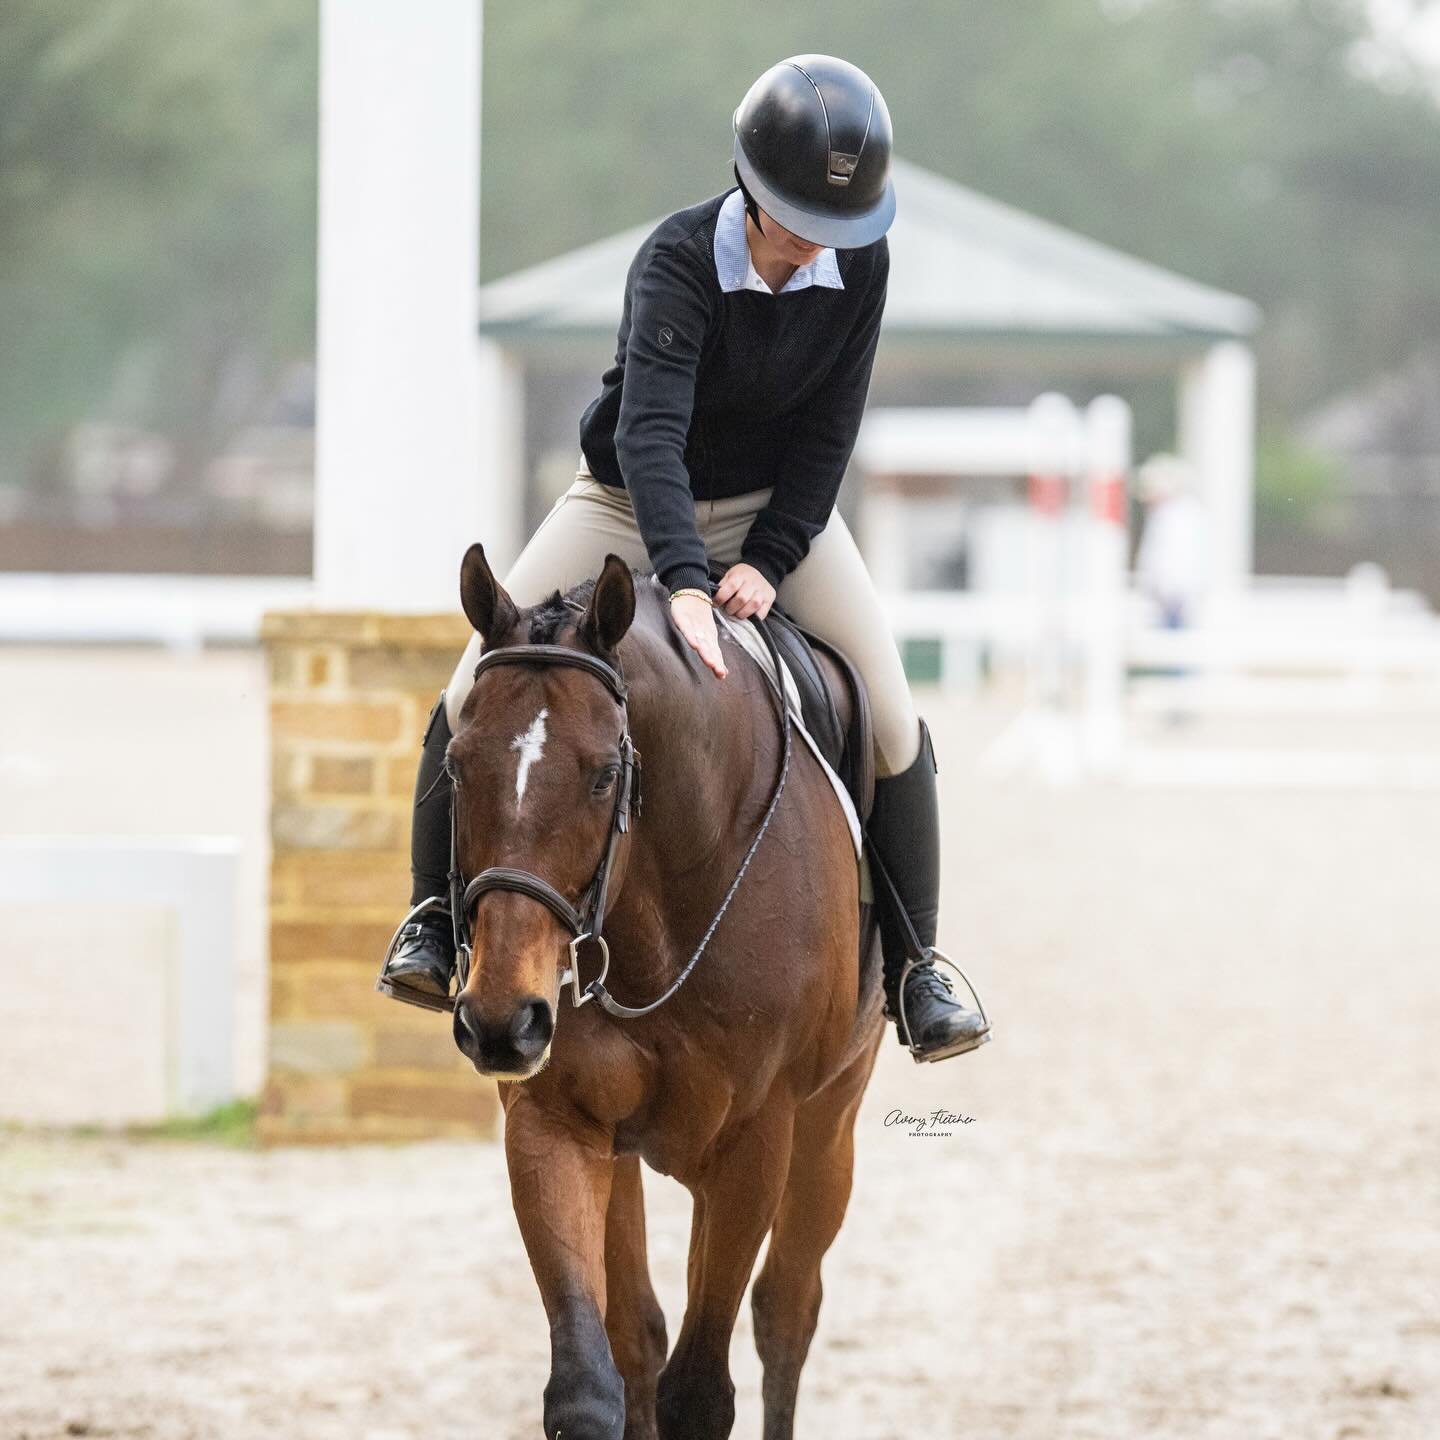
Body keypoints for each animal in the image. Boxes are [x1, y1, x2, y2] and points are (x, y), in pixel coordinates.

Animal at [446, 543, 885, 1440]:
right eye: (455, 765)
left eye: (604, 774)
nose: (502, 1023)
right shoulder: (556, 1121)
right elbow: (592, 1380)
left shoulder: (756, 1141)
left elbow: (700, 1391)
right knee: (643, 1336)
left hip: (829, 1125)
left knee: (786, 1313)